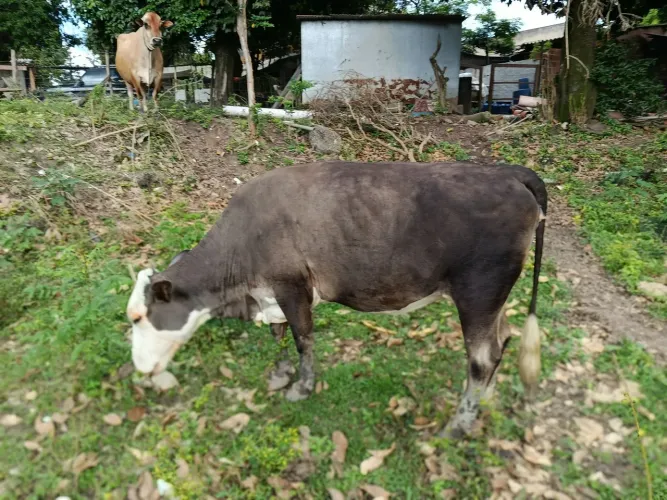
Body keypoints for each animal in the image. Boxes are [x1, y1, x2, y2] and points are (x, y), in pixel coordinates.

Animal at [126, 161, 547, 438]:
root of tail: (510, 172)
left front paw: (301, 387)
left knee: (482, 358)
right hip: (494, 298)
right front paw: (280, 374)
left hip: (479, 290)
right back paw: (484, 403)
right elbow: (278, 334)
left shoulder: (292, 285)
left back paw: (457, 426)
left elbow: (302, 338)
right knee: (503, 339)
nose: (140, 369)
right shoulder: (272, 294)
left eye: (138, 318)